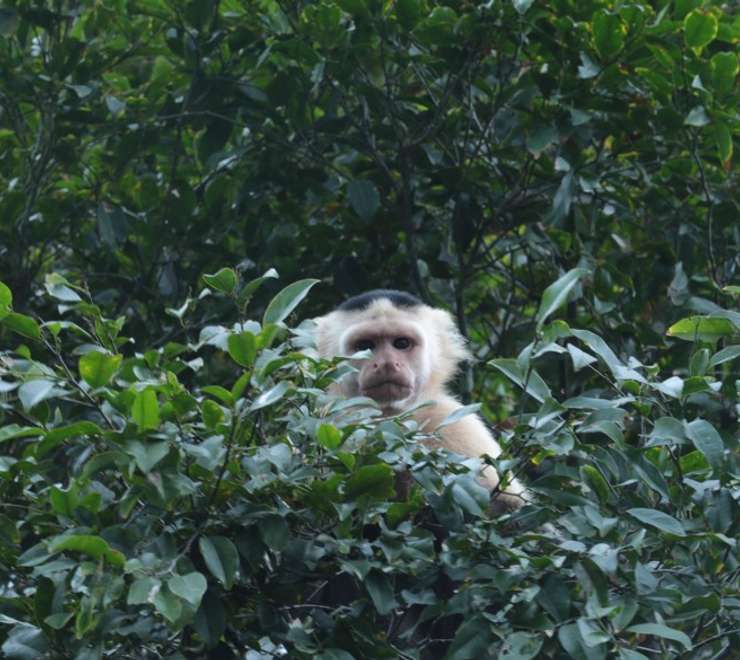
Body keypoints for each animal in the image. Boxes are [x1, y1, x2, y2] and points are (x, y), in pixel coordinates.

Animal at [314, 289, 526, 510]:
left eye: (402, 343)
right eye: (365, 346)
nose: (387, 364)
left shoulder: (451, 419)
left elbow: (508, 503)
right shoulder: (330, 416)